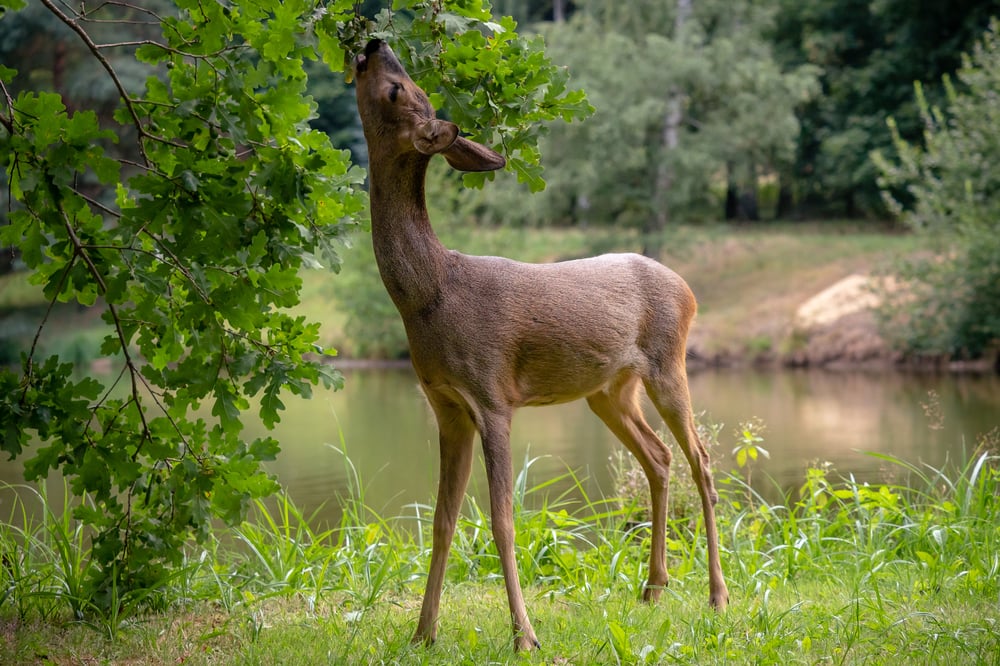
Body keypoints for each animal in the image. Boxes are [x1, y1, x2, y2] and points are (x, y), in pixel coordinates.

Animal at [352, 37, 728, 648]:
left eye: (397, 89)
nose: (373, 42)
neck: (430, 294)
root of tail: (689, 288)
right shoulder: (446, 406)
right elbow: (441, 521)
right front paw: (423, 632)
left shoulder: (492, 396)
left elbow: (502, 519)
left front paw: (523, 633)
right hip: (609, 390)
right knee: (659, 456)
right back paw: (653, 587)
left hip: (669, 363)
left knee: (701, 460)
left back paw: (718, 595)